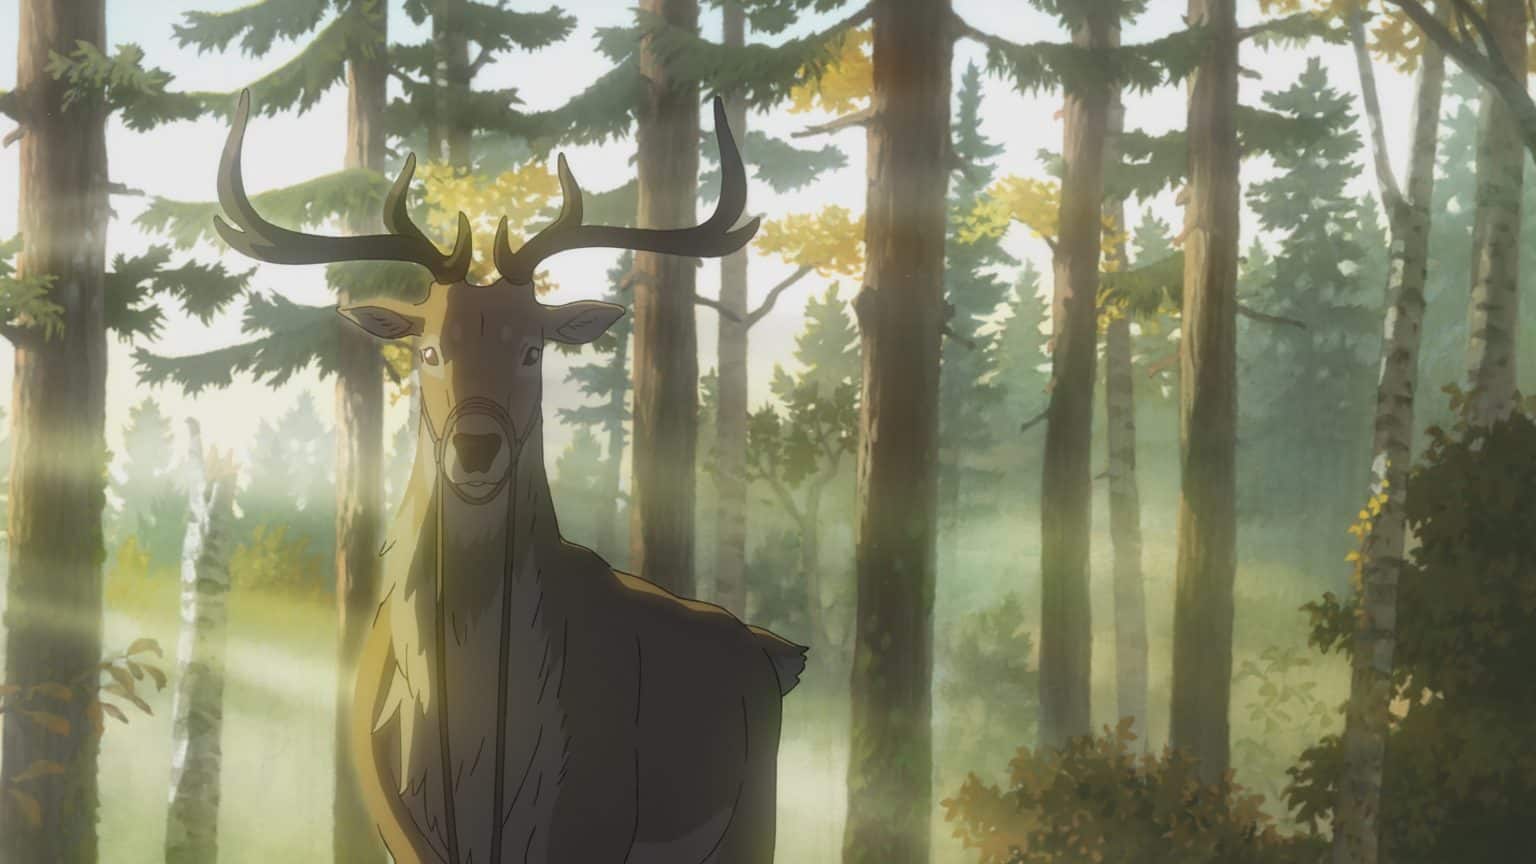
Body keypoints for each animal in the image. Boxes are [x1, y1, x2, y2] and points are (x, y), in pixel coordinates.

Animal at [211, 90, 808, 864]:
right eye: (429, 348)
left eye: (533, 348)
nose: (475, 449)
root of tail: (779, 654)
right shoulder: (395, 827)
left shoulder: (593, 822)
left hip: (749, 821)